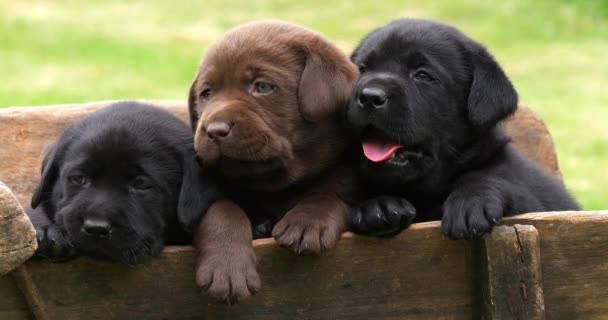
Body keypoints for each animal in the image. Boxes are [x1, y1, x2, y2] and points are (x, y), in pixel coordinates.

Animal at [190, 20, 358, 302]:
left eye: (262, 87)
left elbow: (329, 193)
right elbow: (222, 208)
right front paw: (227, 267)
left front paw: (307, 222)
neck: (274, 183)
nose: (214, 130)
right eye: (207, 93)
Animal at [346, 18, 580, 239]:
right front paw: (378, 205)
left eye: (422, 75)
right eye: (362, 70)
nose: (369, 97)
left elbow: (489, 176)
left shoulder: (535, 207)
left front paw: (471, 202)